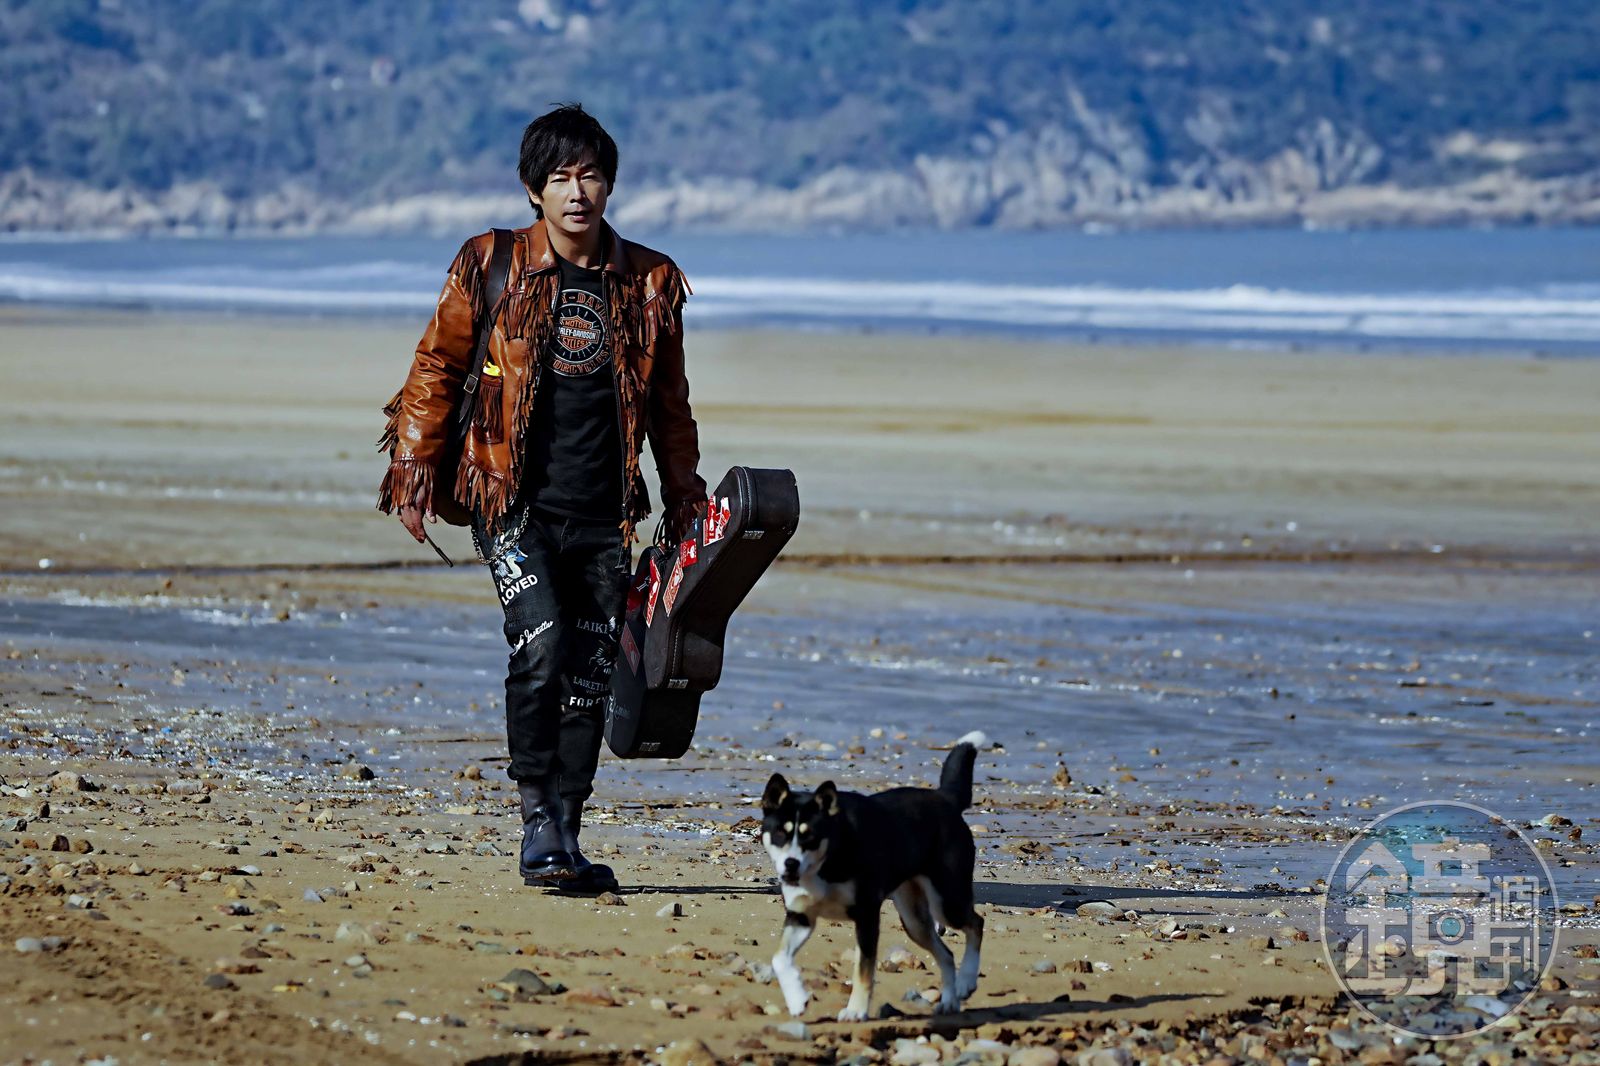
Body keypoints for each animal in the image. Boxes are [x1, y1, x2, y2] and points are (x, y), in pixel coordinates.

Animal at [760, 731, 988, 1021]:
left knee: (976, 923)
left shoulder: (866, 916)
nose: (791, 864)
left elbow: (863, 970)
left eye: (810, 836)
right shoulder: (800, 916)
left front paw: (856, 1011)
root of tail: (945, 798)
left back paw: (967, 981)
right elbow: (780, 959)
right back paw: (949, 1001)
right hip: (915, 920)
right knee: (946, 954)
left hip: (948, 901)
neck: (828, 859)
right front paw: (797, 999)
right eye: (780, 833)